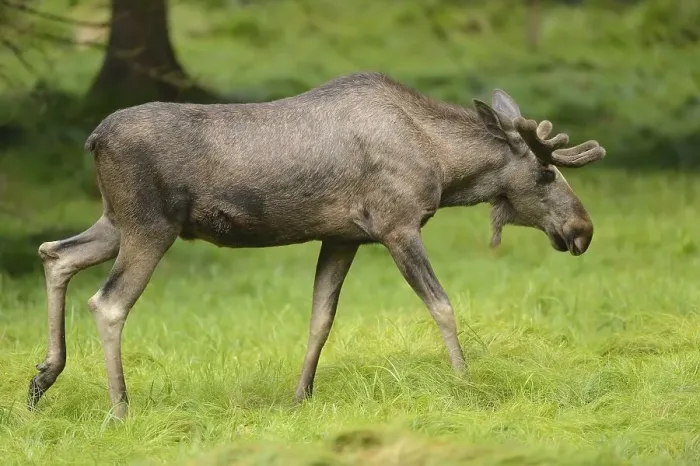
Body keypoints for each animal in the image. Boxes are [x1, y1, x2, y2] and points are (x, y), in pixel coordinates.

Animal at [28, 71, 605, 419]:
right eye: (546, 173)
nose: (583, 230)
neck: (443, 169)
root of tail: (94, 139)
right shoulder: (396, 225)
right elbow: (442, 305)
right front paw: (466, 383)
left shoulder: (343, 236)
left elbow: (320, 318)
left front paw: (300, 395)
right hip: (150, 226)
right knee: (107, 302)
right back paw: (119, 407)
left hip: (117, 221)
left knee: (55, 253)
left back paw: (41, 380)